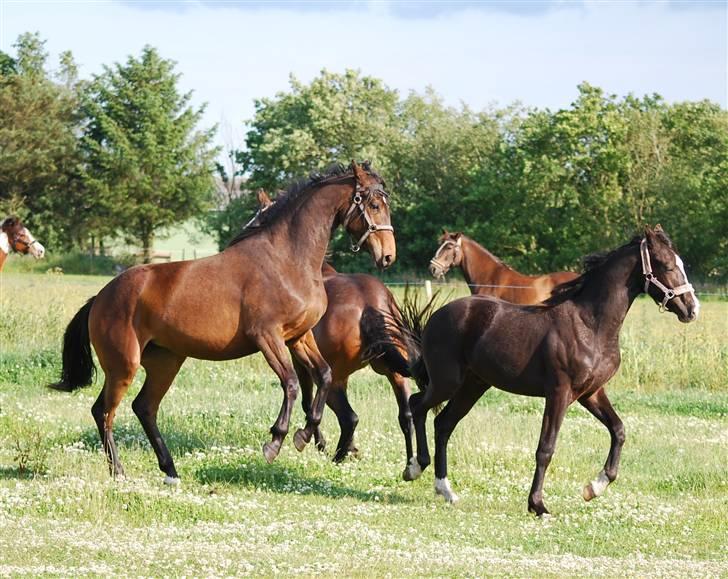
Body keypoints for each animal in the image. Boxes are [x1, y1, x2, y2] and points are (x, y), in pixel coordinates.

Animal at [49, 161, 398, 482]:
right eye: (374, 204)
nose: (388, 256)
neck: (286, 261)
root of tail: (101, 296)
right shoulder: (267, 337)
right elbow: (291, 383)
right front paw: (275, 442)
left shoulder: (298, 337)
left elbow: (323, 376)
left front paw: (305, 434)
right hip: (123, 365)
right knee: (104, 411)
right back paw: (119, 472)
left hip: (165, 362)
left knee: (144, 408)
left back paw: (170, 470)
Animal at [255, 191, 416, 466]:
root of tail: (372, 303)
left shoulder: (302, 363)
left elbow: (308, 404)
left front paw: (317, 441)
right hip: (394, 374)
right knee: (405, 417)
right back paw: (409, 463)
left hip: (338, 377)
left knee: (349, 417)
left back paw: (338, 455)